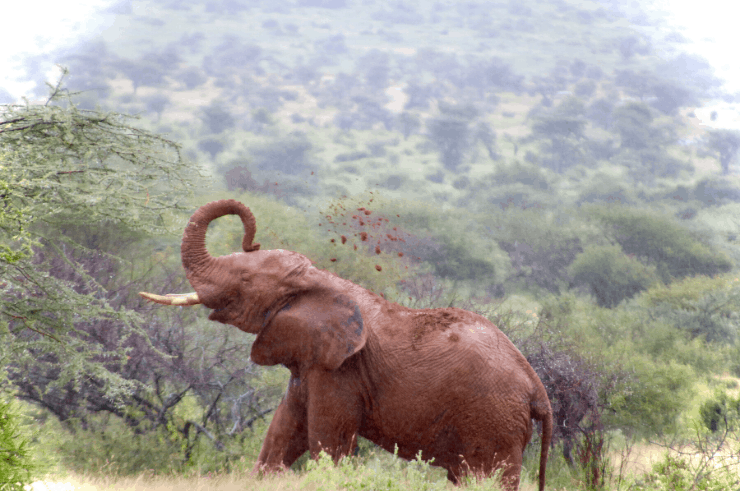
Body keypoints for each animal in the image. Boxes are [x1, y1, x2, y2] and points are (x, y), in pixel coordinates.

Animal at [142, 200, 552, 491]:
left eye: (243, 281)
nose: (251, 239)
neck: (319, 279)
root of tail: (537, 388)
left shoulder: (342, 372)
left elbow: (328, 444)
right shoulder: (311, 360)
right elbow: (282, 432)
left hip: (494, 418)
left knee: (488, 477)